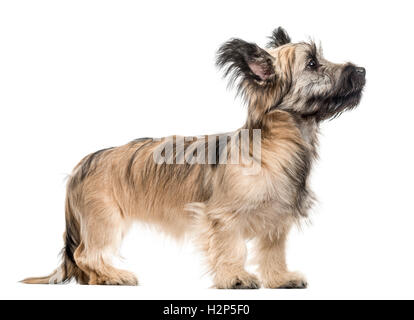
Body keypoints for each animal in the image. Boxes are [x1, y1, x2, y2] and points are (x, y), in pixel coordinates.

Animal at [23, 26, 366, 288]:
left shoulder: (276, 222)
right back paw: (115, 275)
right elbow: (232, 249)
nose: (362, 70)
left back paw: (102, 278)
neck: (276, 146)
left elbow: (273, 252)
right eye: (313, 64)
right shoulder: (223, 218)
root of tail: (83, 163)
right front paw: (236, 278)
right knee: (86, 254)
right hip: (103, 220)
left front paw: (279, 278)